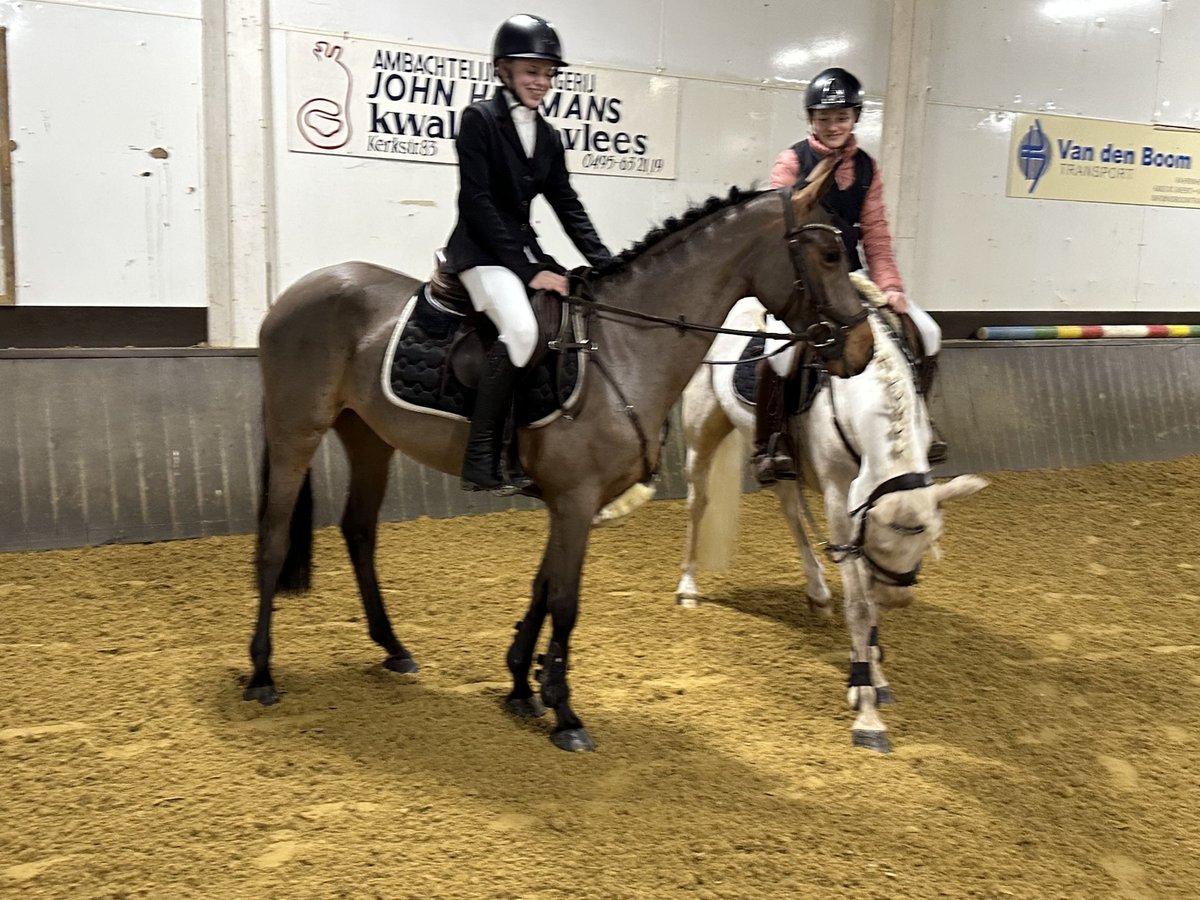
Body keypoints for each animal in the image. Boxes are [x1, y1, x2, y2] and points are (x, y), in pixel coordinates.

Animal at [250, 158, 873, 748]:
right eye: (829, 253)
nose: (862, 349)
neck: (624, 347)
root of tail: (293, 293)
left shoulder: (569, 502)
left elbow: (543, 588)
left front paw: (522, 687)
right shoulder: (574, 500)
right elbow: (566, 600)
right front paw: (565, 712)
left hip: (368, 438)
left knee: (359, 531)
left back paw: (393, 648)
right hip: (296, 433)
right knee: (274, 540)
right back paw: (261, 674)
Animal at [609, 280, 984, 753]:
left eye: (926, 542)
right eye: (879, 544)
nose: (898, 599)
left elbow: (863, 598)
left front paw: (873, 675)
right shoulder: (842, 499)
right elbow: (859, 604)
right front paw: (867, 713)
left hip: (778, 454)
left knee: (789, 506)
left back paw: (818, 591)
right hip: (703, 432)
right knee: (699, 501)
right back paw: (688, 588)